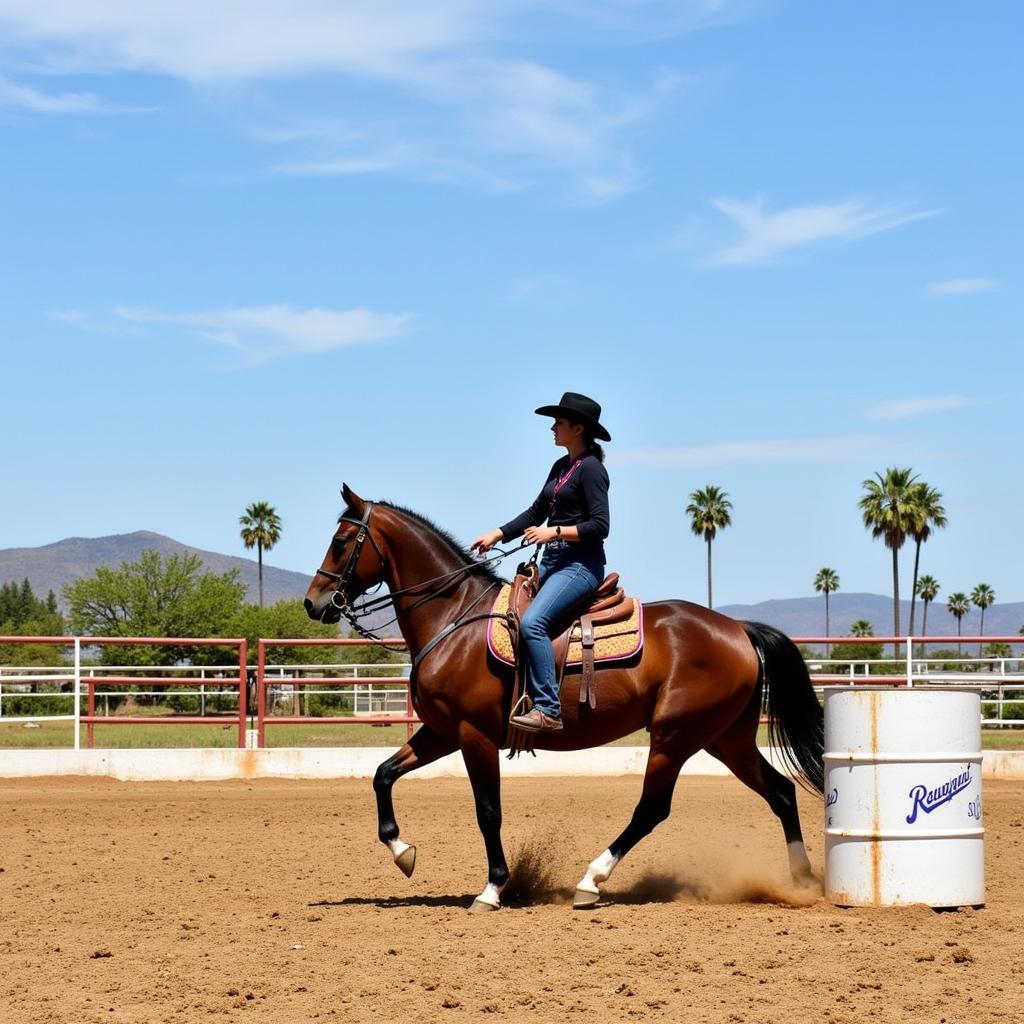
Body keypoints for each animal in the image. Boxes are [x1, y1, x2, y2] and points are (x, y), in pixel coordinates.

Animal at [301, 487, 823, 913]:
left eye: (342, 541)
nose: (314, 602)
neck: (455, 619)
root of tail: (738, 630)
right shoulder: (443, 732)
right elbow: (383, 774)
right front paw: (403, 852)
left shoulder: (474, 735)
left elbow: (487, 810)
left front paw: (493, 888)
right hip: (725, 738)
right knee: (780, 791)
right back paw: (802, 880)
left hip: (676, 735)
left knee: (651, 809)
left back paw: (591, 880)